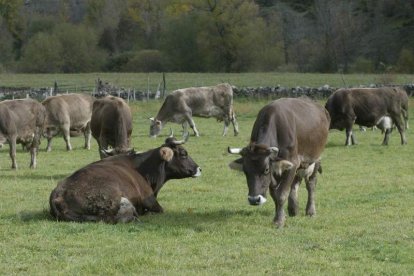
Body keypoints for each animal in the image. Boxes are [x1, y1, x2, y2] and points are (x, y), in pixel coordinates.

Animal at [226, 98, 330, 227]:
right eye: (245, 171)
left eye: (266, 169)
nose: (254, 200)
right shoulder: (279, 168)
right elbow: (274, 194)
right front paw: (282, 215)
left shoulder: (292, 163)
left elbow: (281, 194)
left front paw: (279, 221)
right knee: (295, 183)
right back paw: (293, 209)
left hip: (316, 159)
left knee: (311, 184)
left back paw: (310, 211)